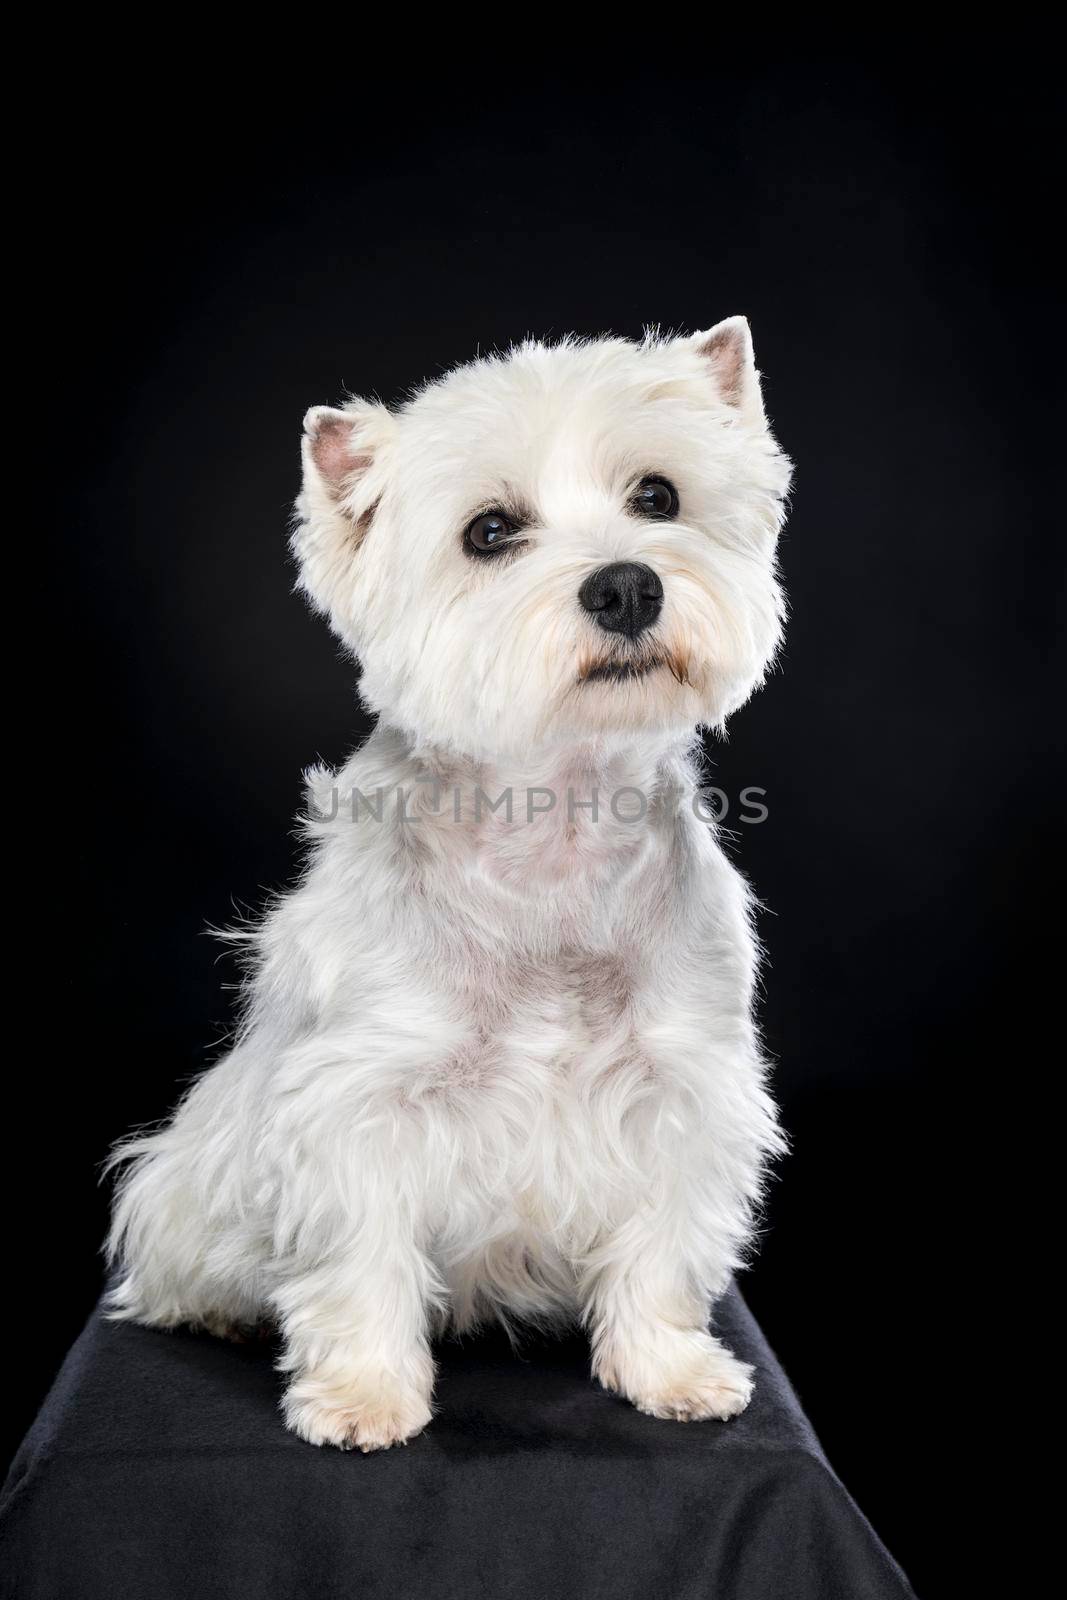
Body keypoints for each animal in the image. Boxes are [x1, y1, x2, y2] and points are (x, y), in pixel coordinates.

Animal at [108, 321, 793, 1452]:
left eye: (656, 496)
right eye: (489, 531)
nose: (625, 586)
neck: (555, 824)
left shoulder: (679, 1089)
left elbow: (658, 1252)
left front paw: (671, 1371)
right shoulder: (358, 1102)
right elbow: (360, 1261)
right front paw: (362, 1397)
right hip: (190, 1181)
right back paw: (216, 1310)